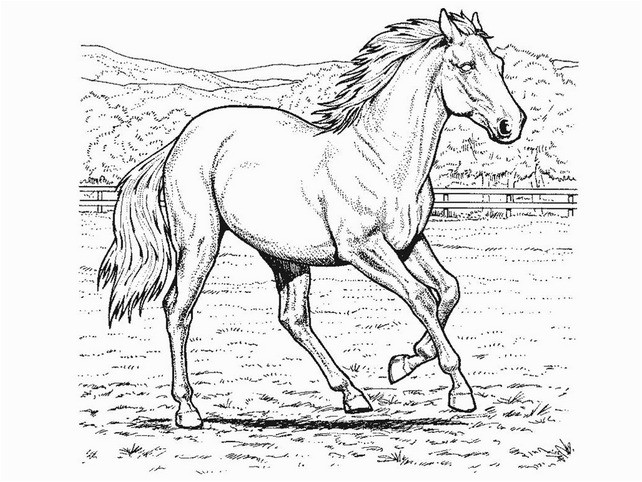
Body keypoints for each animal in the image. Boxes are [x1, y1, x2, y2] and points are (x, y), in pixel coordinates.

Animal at [98, 9, 525, 429]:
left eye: (499, 64)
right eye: (466, 65)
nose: (512, 124)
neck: (382, 159)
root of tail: (180, 140)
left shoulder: (409, 243)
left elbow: (449, 289)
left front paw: (404, 362)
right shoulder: (364, 250)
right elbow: (421, 296)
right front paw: (459, 391)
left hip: (286, 257)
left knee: (293, 318)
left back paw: (353, 395)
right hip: (200, 242)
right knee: (178, 310)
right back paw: (187, 410)